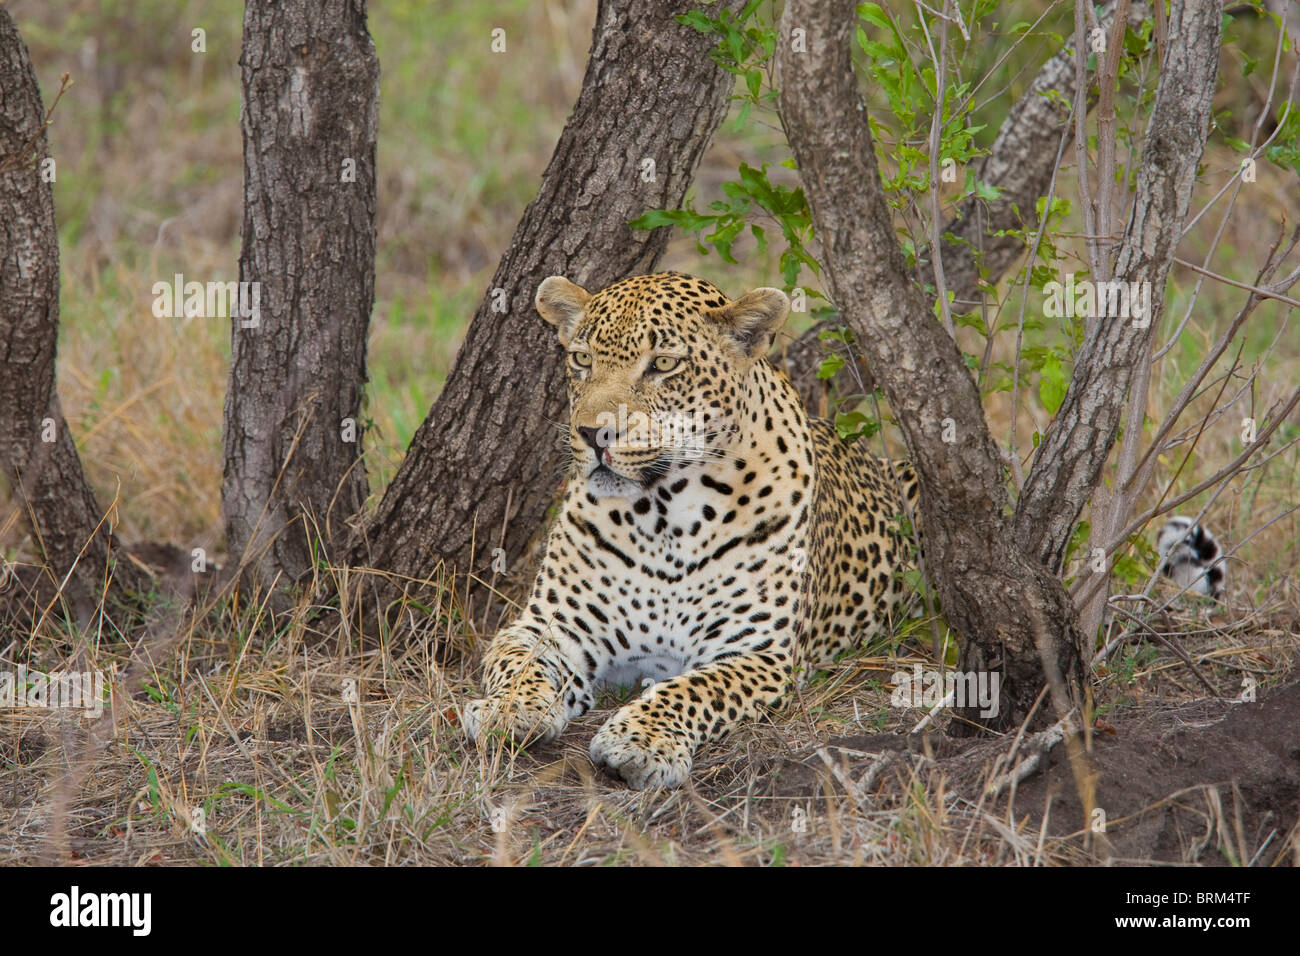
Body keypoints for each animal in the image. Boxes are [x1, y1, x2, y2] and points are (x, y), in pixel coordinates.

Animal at [462, 273, 920, 790]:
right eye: (582, 360)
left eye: (663, 364)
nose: (592, 434)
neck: (662, 516)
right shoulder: (549, 626)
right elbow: (517, 662)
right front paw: (507, 709)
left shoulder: (755, 653)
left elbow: (694, 689)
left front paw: (641, 741)